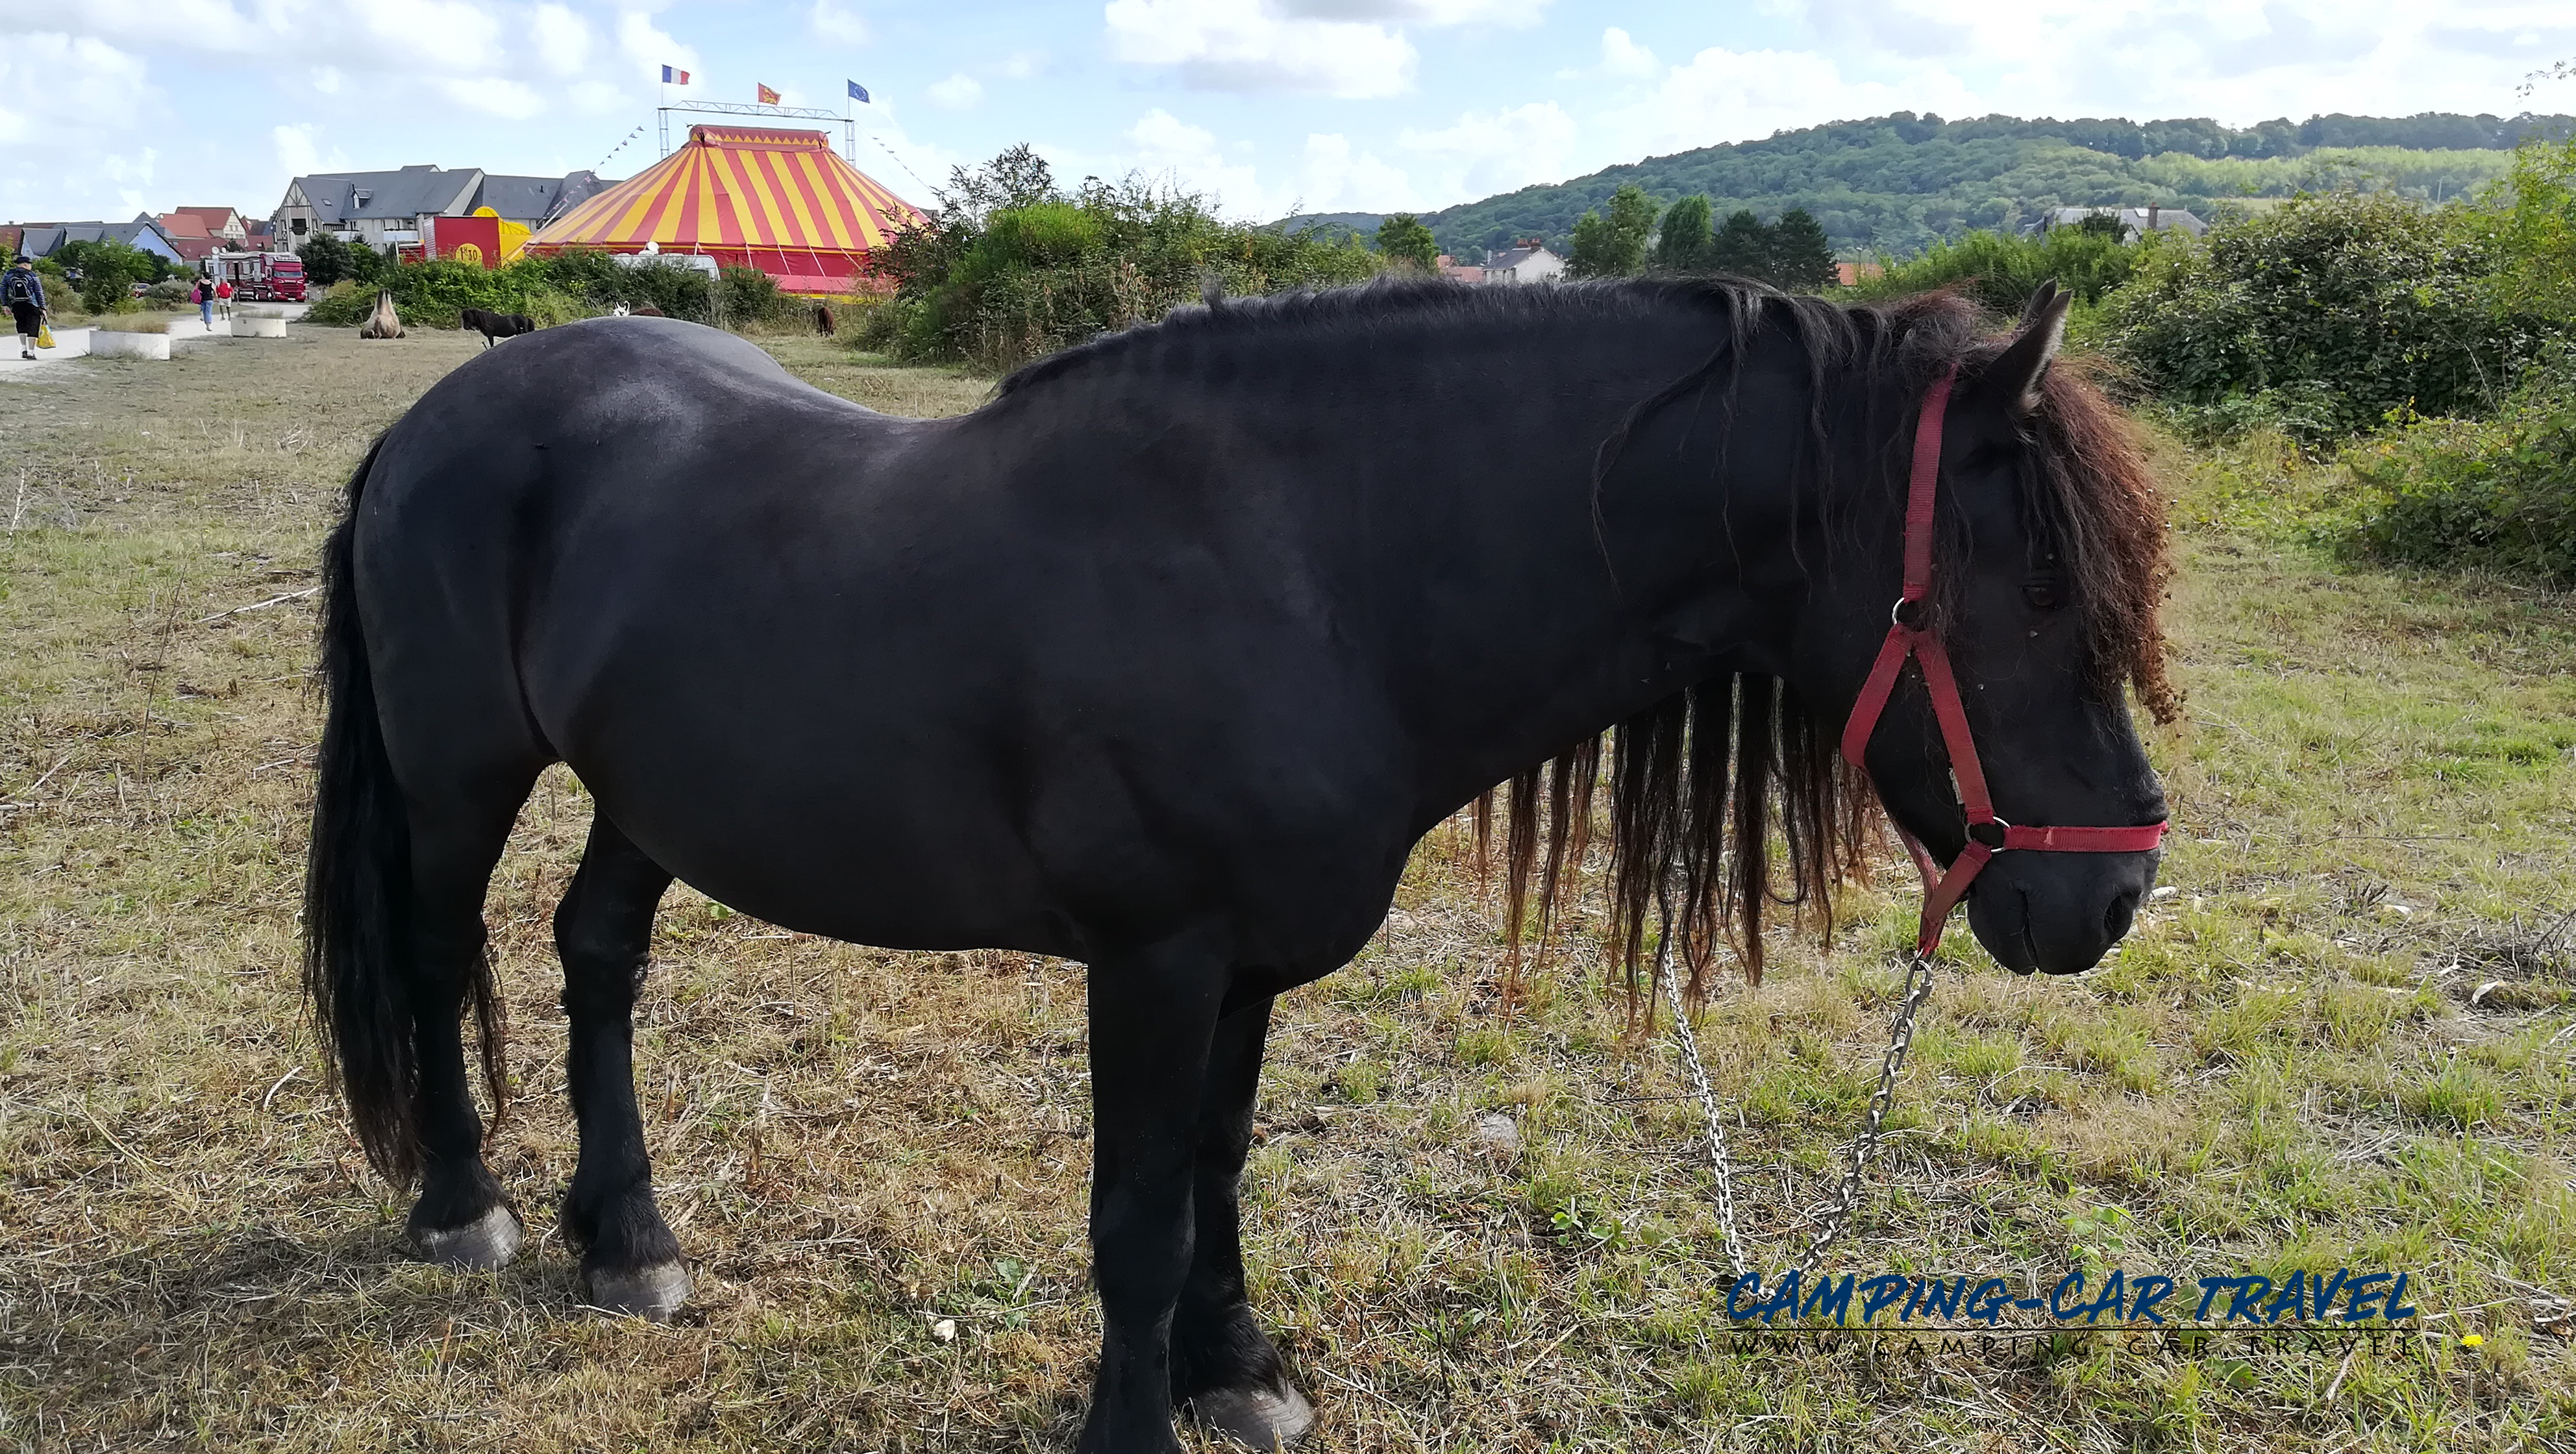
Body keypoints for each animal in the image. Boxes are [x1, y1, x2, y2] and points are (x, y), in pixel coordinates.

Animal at [301, 278, 2174, 1441]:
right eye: (2030, 589)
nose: (2110, 893)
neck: (1308, 566)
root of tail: (436, 418)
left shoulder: (1249, 968)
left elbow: (1215, 1172)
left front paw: (1236, 1371)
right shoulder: (1154, 961)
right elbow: (1134, 1211)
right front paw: (1135, 1426)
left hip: (652, 793)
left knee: (596, 955)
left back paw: (627, 1238)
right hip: (460, 782)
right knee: (442, 949)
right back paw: (467, 1206)